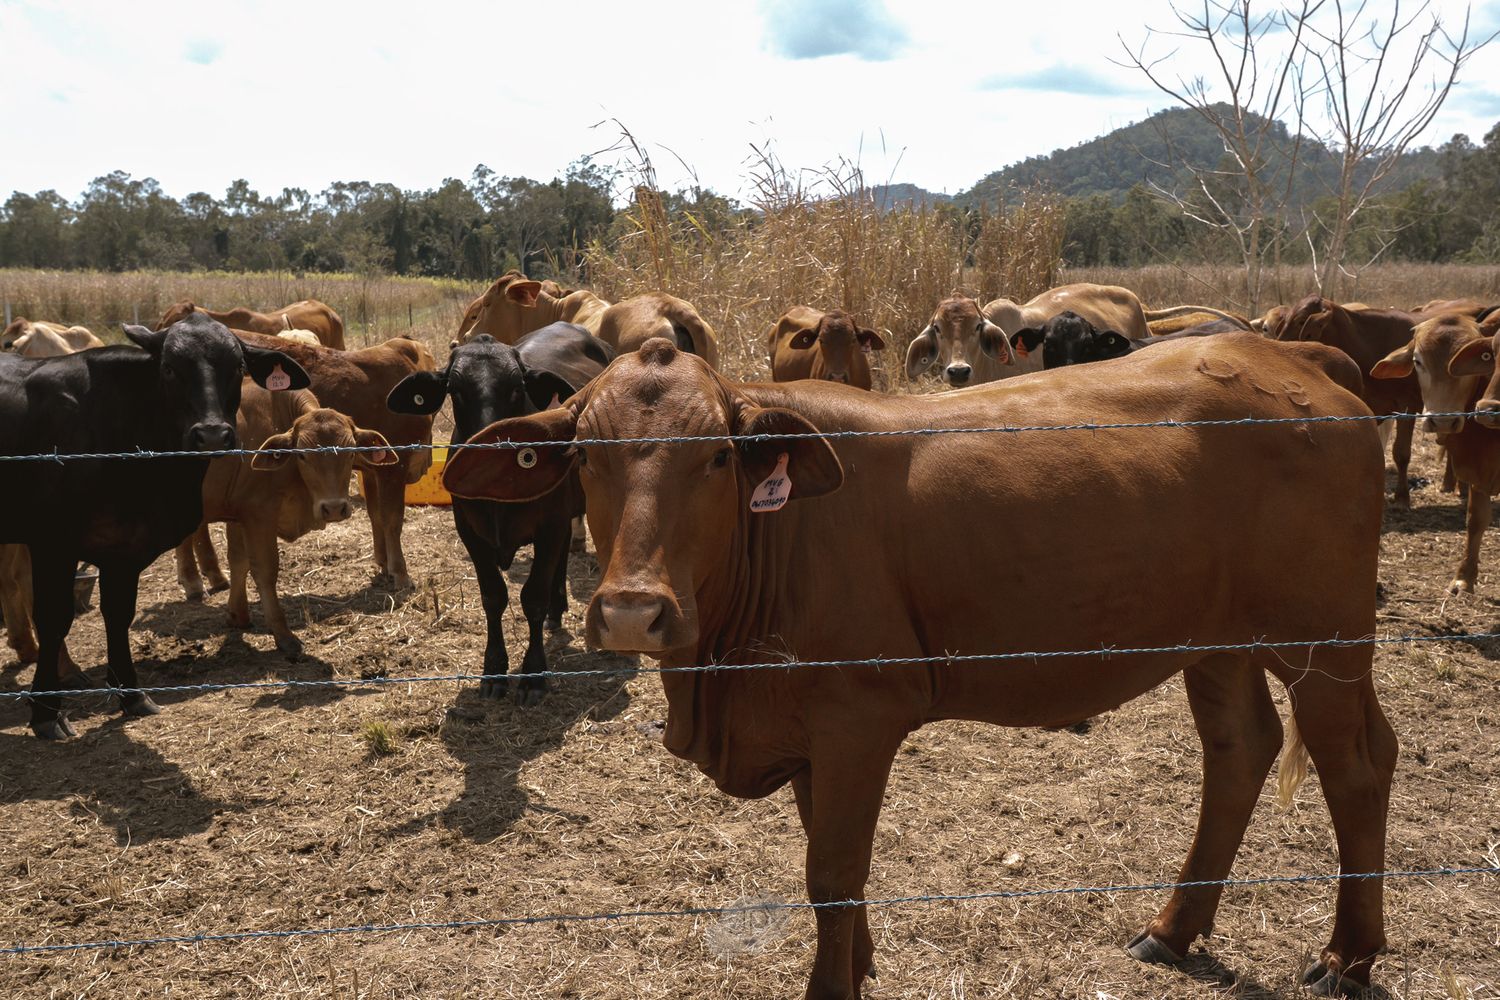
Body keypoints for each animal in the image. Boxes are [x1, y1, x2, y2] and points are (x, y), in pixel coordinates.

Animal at [0, 314, 308, 739]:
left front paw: (132, 695)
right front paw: (46, 712)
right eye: (169, 368)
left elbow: (119, 614)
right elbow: (54, 618)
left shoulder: (125, 548)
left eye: (238, 367)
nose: (212, 434)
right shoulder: (52, 542)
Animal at [175, 333, 436, 596]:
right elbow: (392, 519)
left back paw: (210, 575)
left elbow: (376, 516)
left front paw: (383, 563)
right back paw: (194, 579)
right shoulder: (395, 468)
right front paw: (400, 573)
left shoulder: (372, 468)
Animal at [175, 383, 398, 654]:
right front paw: (283, 635)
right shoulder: (258, 514)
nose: (334, 508)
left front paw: (238, 615)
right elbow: (264, 570)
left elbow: (239, 562)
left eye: (351, 452)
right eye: (302, 455)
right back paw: (193, 582)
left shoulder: (239, 515)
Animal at [387, 325, 612, 703]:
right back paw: (557, 611)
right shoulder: (469, 531)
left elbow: (533, 597)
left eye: (517, 388)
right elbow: (493, 596)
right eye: (455, 390)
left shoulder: (549, 526)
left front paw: (533, 674)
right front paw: (493, 670)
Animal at [444, 334, 1394, 999]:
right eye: (583, 456)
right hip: (1217, 642)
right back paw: (1174, 927)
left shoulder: (859, 717)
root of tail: (1283, 355)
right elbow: (825, 855)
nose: (632, 609)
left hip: (1326, 641)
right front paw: (860, 962)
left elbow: (831, 873)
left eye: (717, 456)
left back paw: (1347, 957)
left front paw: (833, 986)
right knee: (1240, 750)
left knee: (1357, 763)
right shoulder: (808, 729)